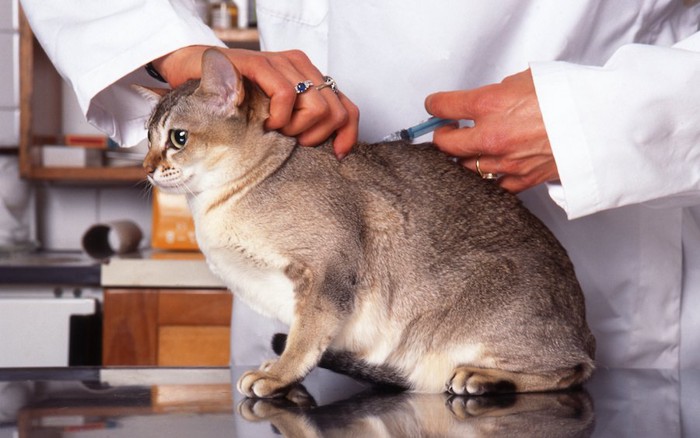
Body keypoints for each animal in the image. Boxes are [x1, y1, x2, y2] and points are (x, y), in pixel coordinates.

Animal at [141, 48, 596, 400]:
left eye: (178, 138)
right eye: (146, 139)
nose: (147, 168)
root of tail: (584, 329)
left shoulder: (328, 268)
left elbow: (306, 336)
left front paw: (279, 375)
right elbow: (300, 332)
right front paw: (277, 365)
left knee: (572, 370)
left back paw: (481, 376)